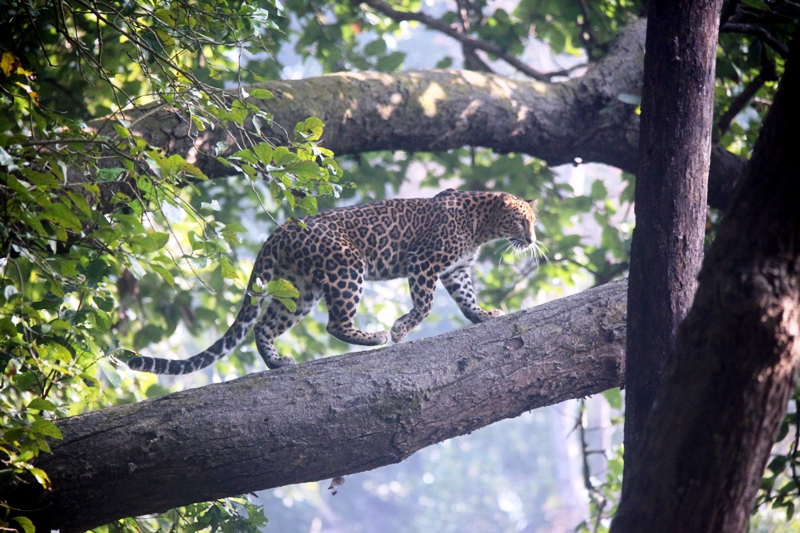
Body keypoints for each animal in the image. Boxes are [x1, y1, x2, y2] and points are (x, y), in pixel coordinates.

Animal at [127, 189, 538, 374]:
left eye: (532, 222)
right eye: (521, 221)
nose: (533, 240)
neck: (483, 226)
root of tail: (279, 231)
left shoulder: (456, 270)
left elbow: (467, 300)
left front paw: (485, 316)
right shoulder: (423, 262)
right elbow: (424, 305)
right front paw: (400, 329)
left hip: (300, 288)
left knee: (263, 325)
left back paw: (278, 363)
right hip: (347, 267)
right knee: (335, 322)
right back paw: (374, 337)